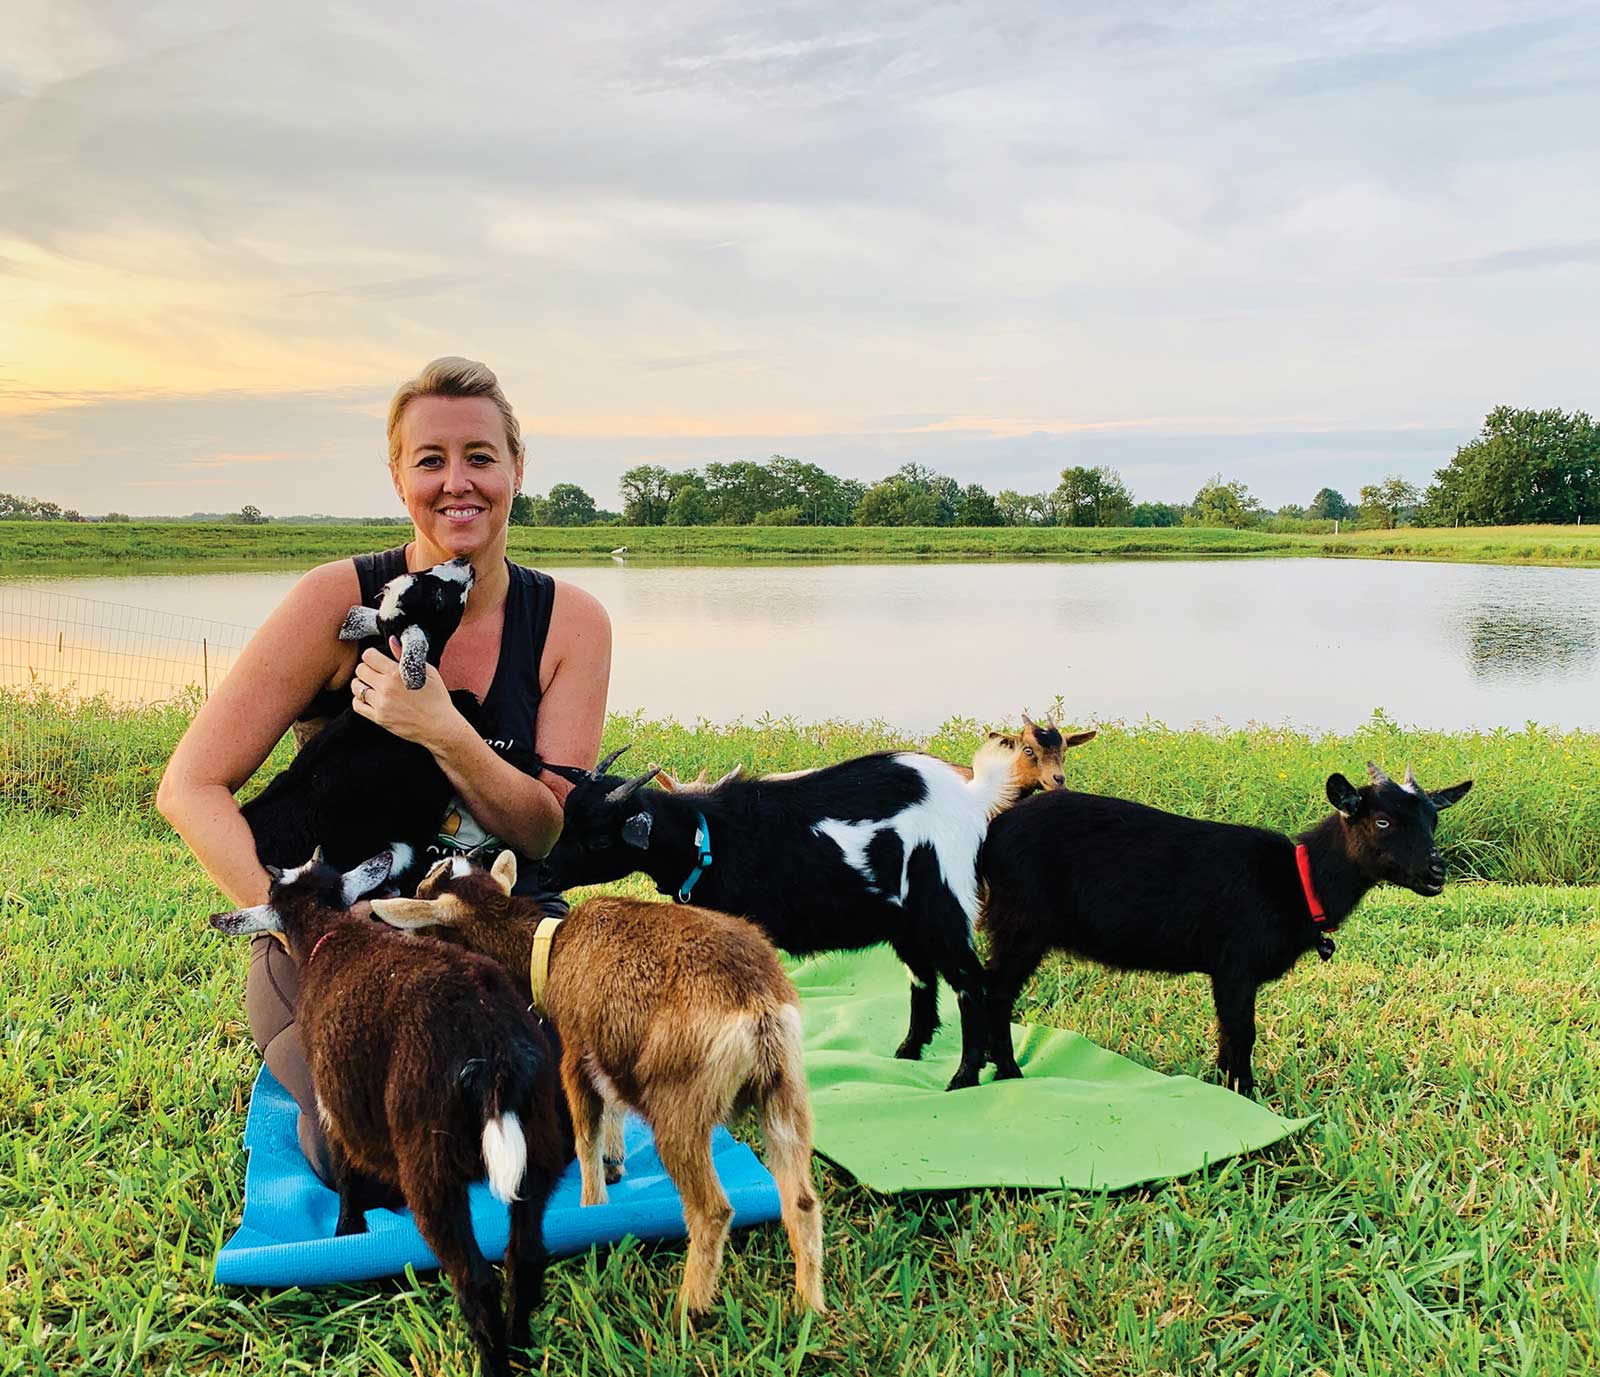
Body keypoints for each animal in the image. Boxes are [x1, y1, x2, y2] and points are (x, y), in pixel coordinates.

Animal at [209, 844, 566, 1369]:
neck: (331, 934)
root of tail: (492, 1053)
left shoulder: (334, 1099)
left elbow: (345, 1175)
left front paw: (346, 1234)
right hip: (540, 1138)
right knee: (526, 1257)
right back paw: (520, 1345)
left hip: (428, 1161)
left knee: (476, 1280)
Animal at [972, 764, 1472, 1093]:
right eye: (1382, 820)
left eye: (1434, 819)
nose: (1436, 873)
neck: (1297, 882)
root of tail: (991, 834)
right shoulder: (1236, 965)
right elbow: (1242, 1031)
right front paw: (1245, 1093)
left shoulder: (1227, 971)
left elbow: (1226, 1033)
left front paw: (1222, 1085)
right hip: (1022, 923)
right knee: (994, 993)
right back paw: (1009, 1074)